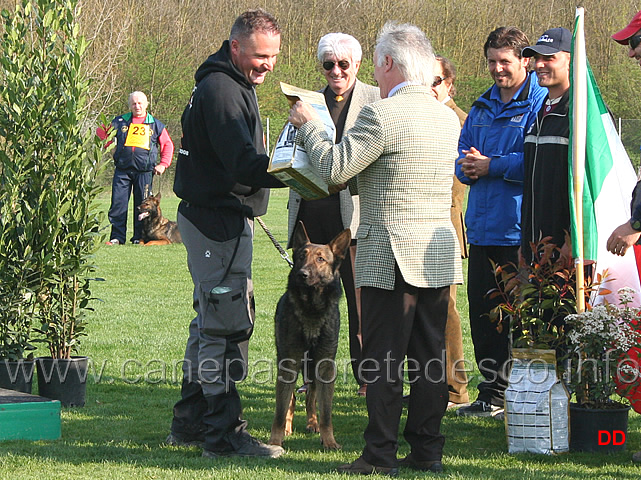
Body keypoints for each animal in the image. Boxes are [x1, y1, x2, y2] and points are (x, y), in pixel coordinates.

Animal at [268, 221, 352, 450]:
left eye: (321, 259)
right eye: (300, 257)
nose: (302, 274)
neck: (311, 309)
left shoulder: (325, 367)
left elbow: (326, 414)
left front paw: (329, 441)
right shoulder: (288, 364)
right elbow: (280, 412)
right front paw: (275, 442)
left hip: (312, 369)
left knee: (311, 397)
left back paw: (313, 423)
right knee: (291, 400)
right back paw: (288, 428)